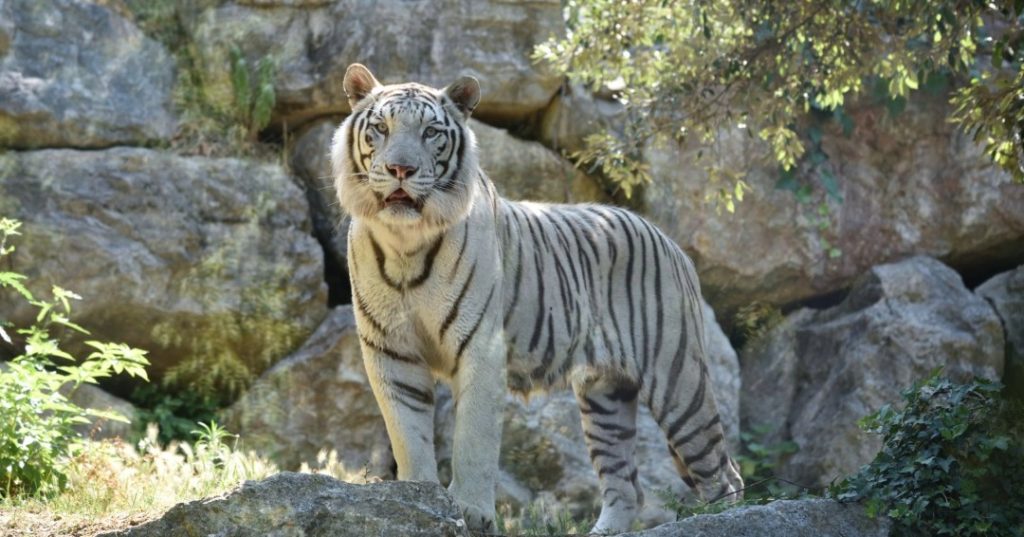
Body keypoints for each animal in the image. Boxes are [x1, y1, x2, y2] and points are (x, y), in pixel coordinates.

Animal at [331, 63, 743, 534]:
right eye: (380, 128)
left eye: (431, 132)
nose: (400, 168)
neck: (405, 242)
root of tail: (669, 239)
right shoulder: (391, 352)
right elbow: (409, 436)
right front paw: (419, 501)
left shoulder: (481, 347)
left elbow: (473, 438)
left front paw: (470, 510)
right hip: (605, 396)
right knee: (626, 487)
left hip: (677, 378)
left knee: (722, 472)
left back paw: (723, 519)